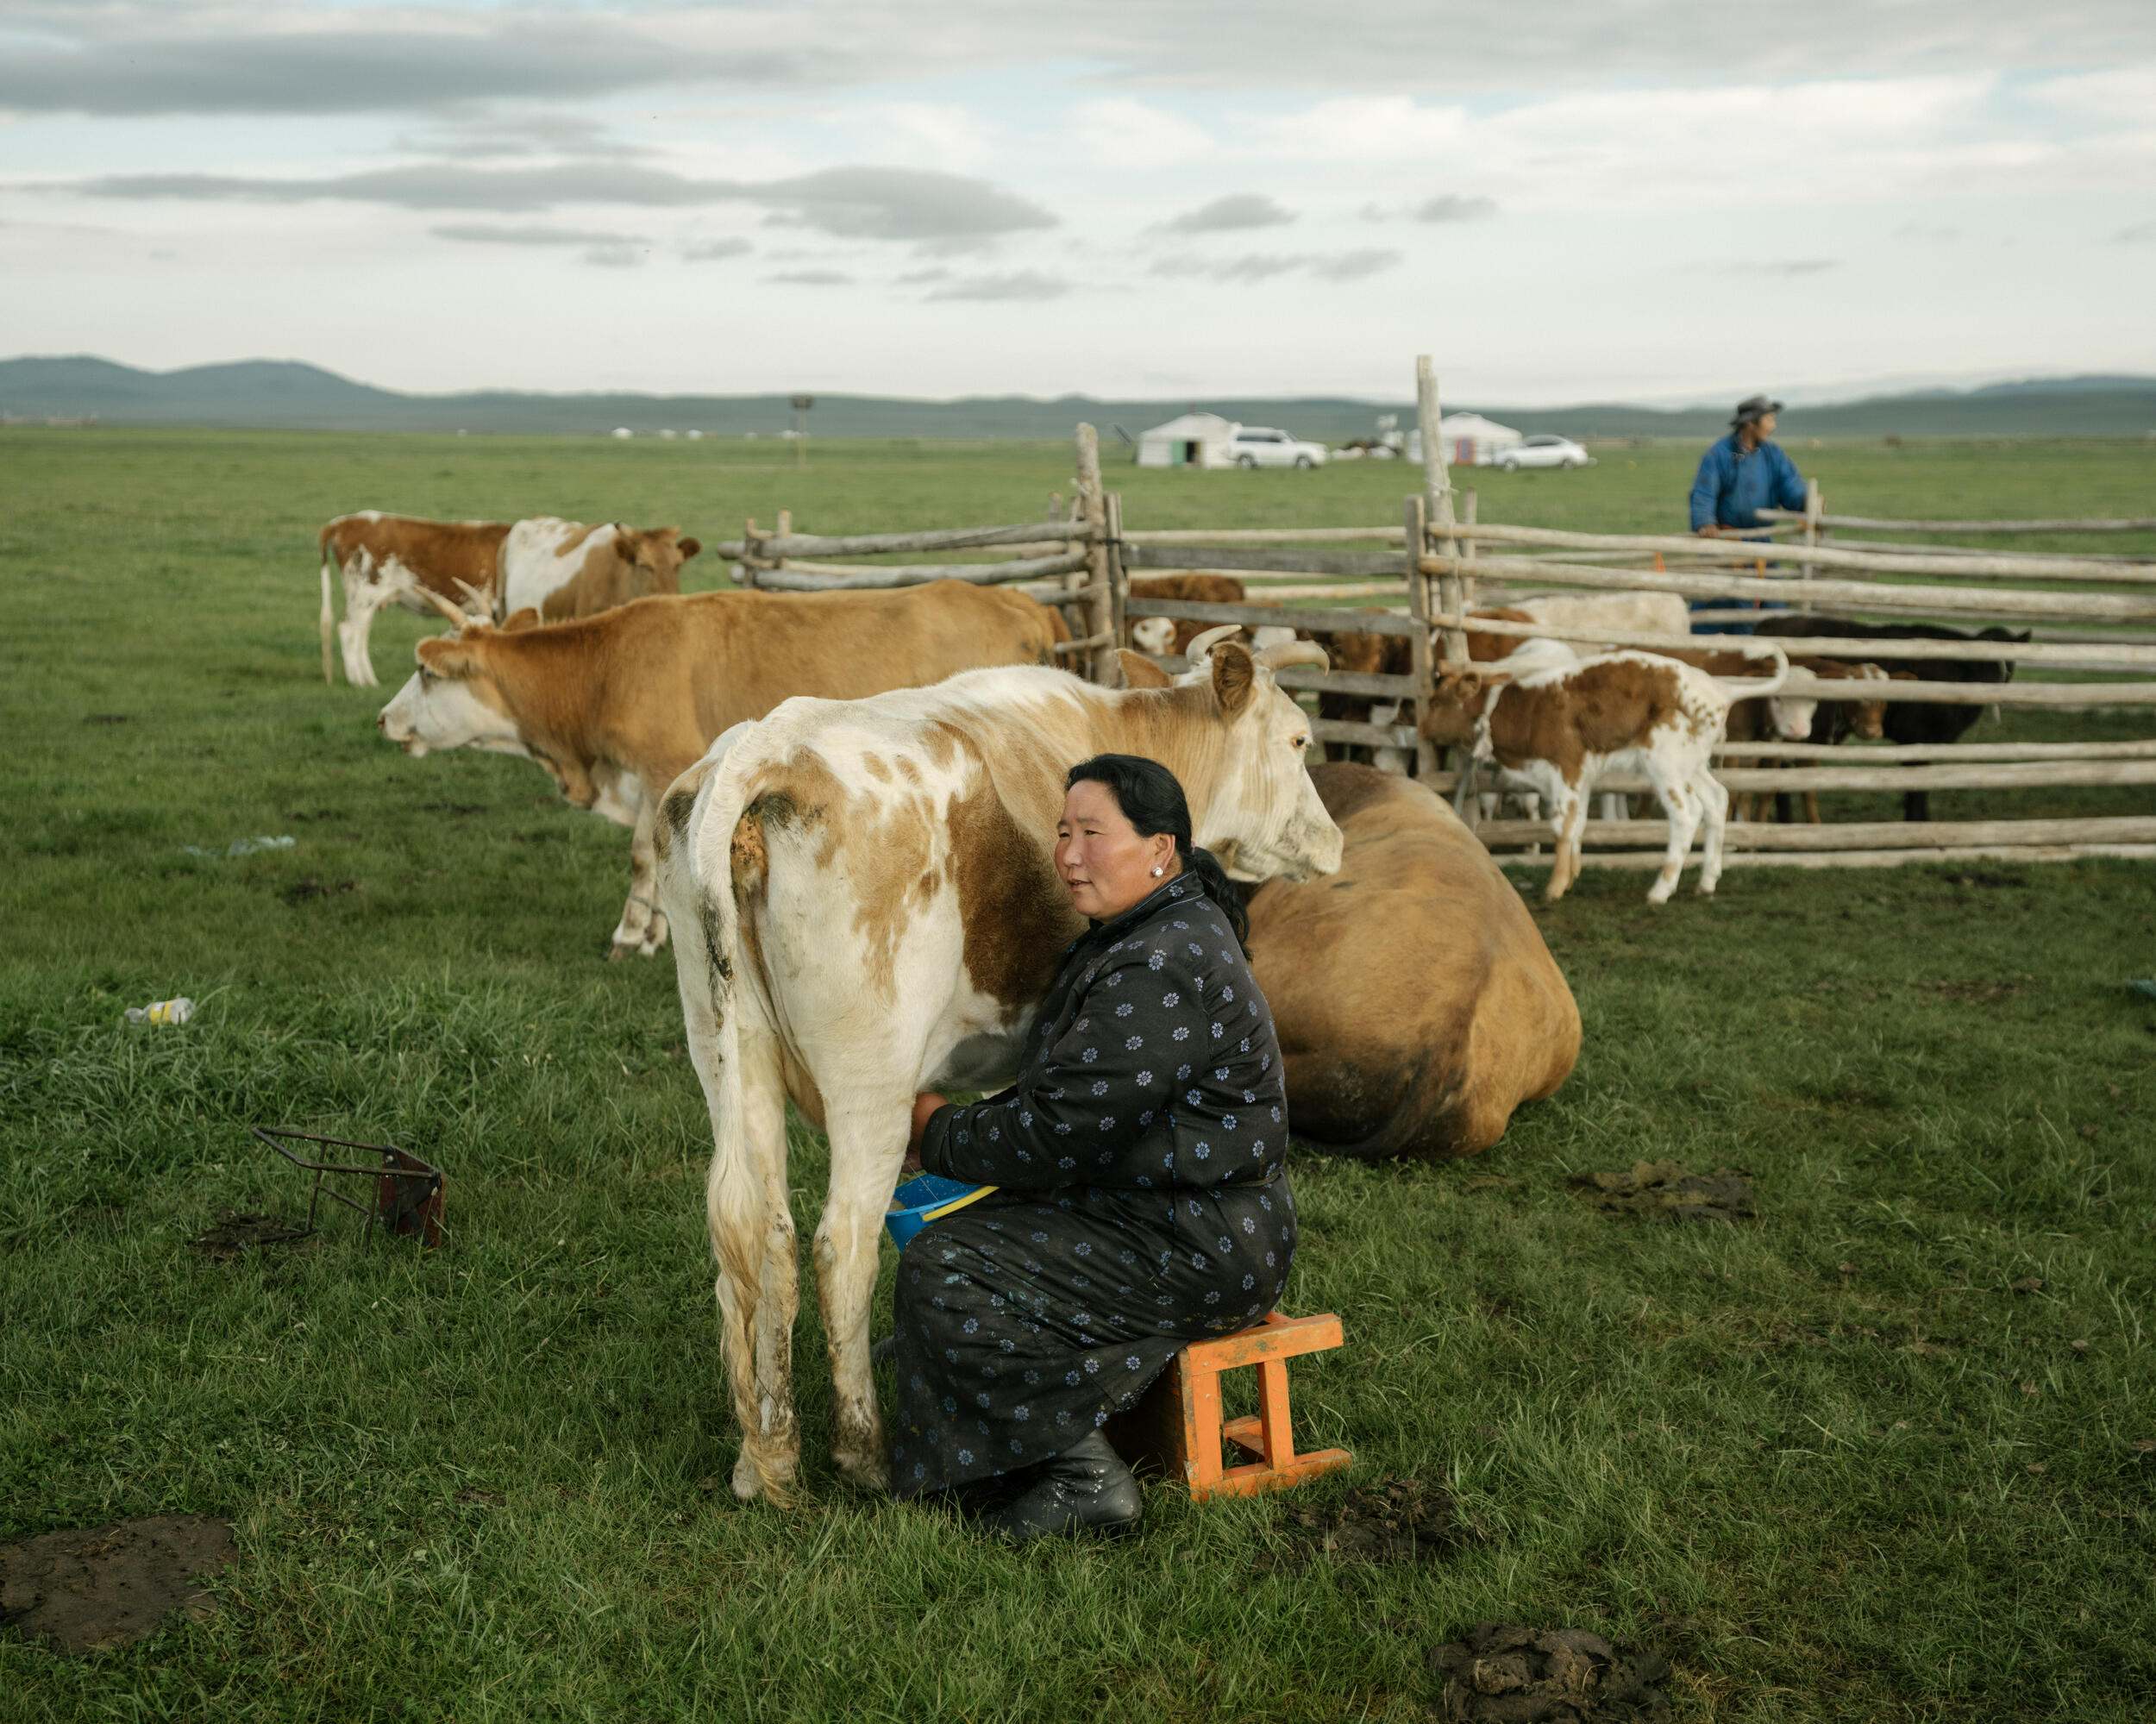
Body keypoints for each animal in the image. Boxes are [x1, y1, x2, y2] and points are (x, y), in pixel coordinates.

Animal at [376, 581, 1070, 958]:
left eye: (426, 672)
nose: (382, 719)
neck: (606, 668)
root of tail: (1016, 600)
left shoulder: (660, 769)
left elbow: (641, 857)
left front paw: (630, 934)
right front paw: (656, 931)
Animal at [652, 627, 1342, 1501]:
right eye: (1298, 740)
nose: (1335, 840)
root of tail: (767, 747)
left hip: (724, 1043)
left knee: (758, 1231)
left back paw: (765, 1461)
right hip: (870, 1073)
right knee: (842, 1243)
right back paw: (865, 1453)